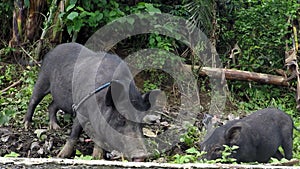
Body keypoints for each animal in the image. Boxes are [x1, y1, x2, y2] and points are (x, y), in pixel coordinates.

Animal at [23, 42, 159, 161]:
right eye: (121, 117)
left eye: (141, 121)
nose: (142, 156)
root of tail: (52, 50)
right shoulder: (81, 109)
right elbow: (74, 134)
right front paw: (61, 156)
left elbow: (99, 138)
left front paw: (97, 158)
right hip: (43, 79)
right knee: (33, 100)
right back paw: (27, 125)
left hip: (62, 98)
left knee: (52, 105)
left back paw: (56, 127)